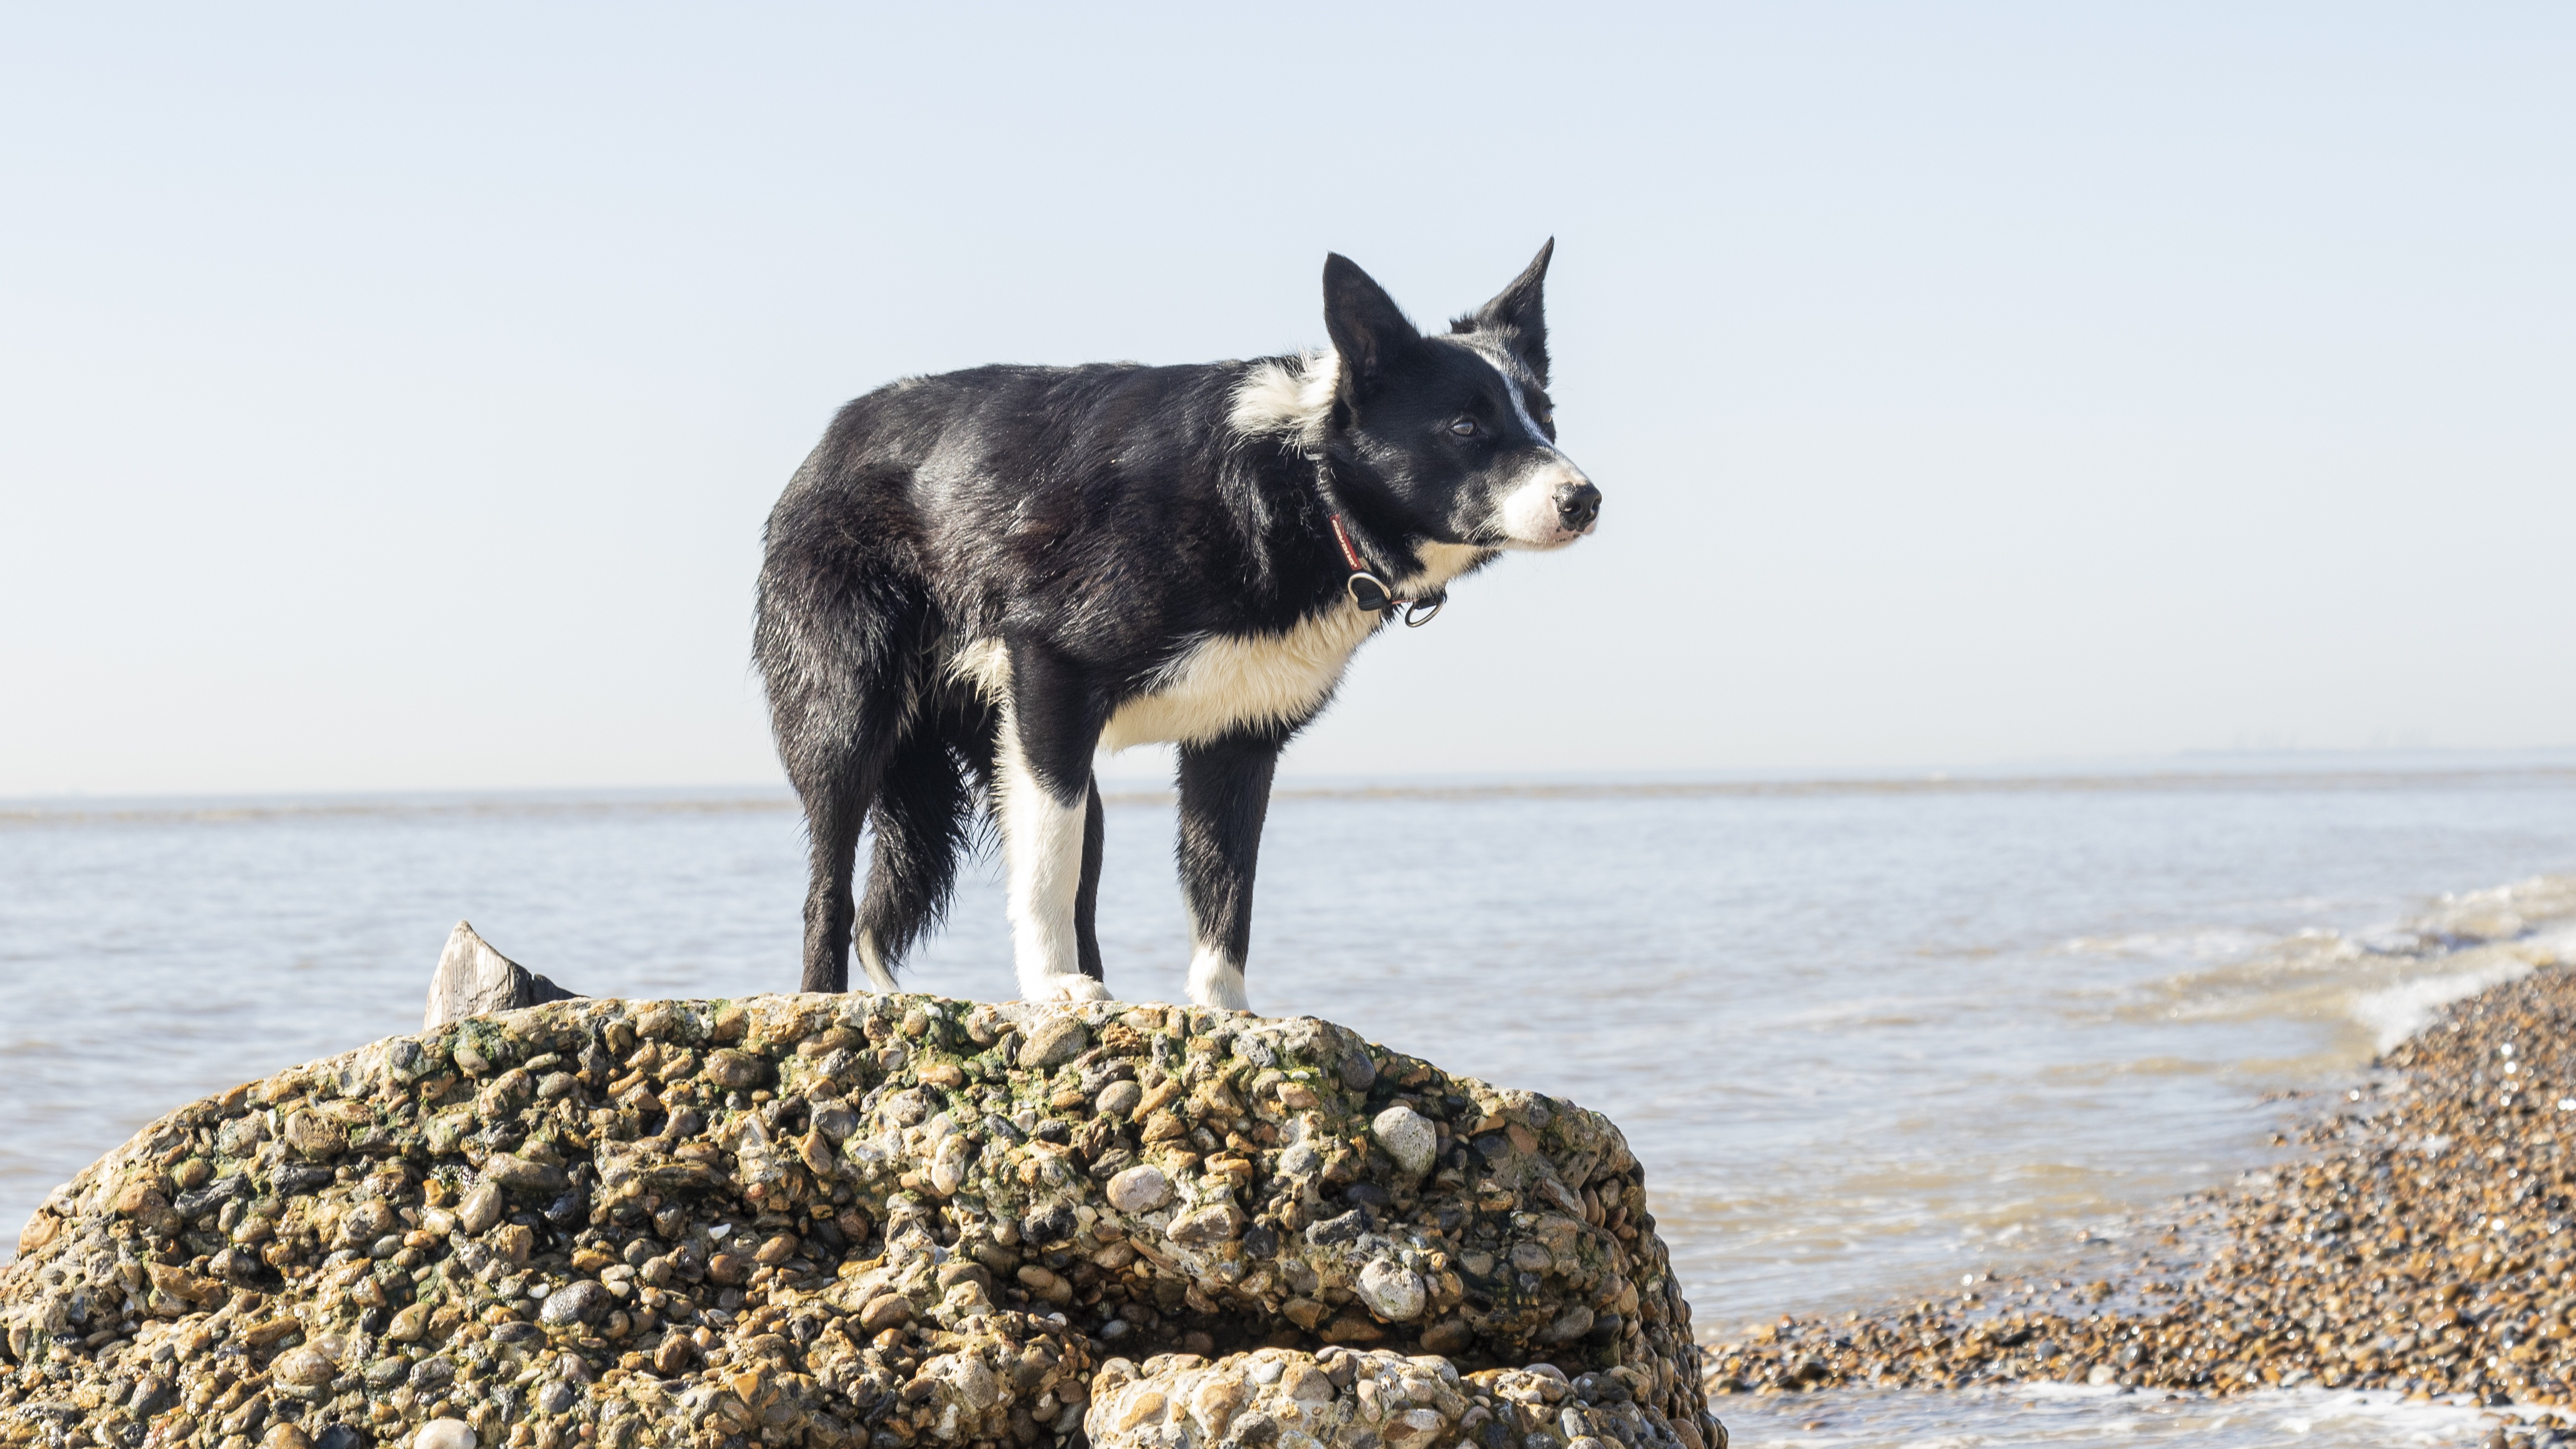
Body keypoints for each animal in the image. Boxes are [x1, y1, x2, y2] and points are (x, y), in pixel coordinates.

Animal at [752, 242, 1587, 1005]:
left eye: (1546, 420)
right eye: (1465, 426)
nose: (1585, 498)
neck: (1304, 487)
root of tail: (834, 437)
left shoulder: (1237, 740)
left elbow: (1224, 897)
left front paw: (1229, 1017)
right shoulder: (1051, 669)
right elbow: (1047, 869)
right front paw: (1051, 987)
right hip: (854, 715)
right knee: (831, 890)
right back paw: (824, 997)